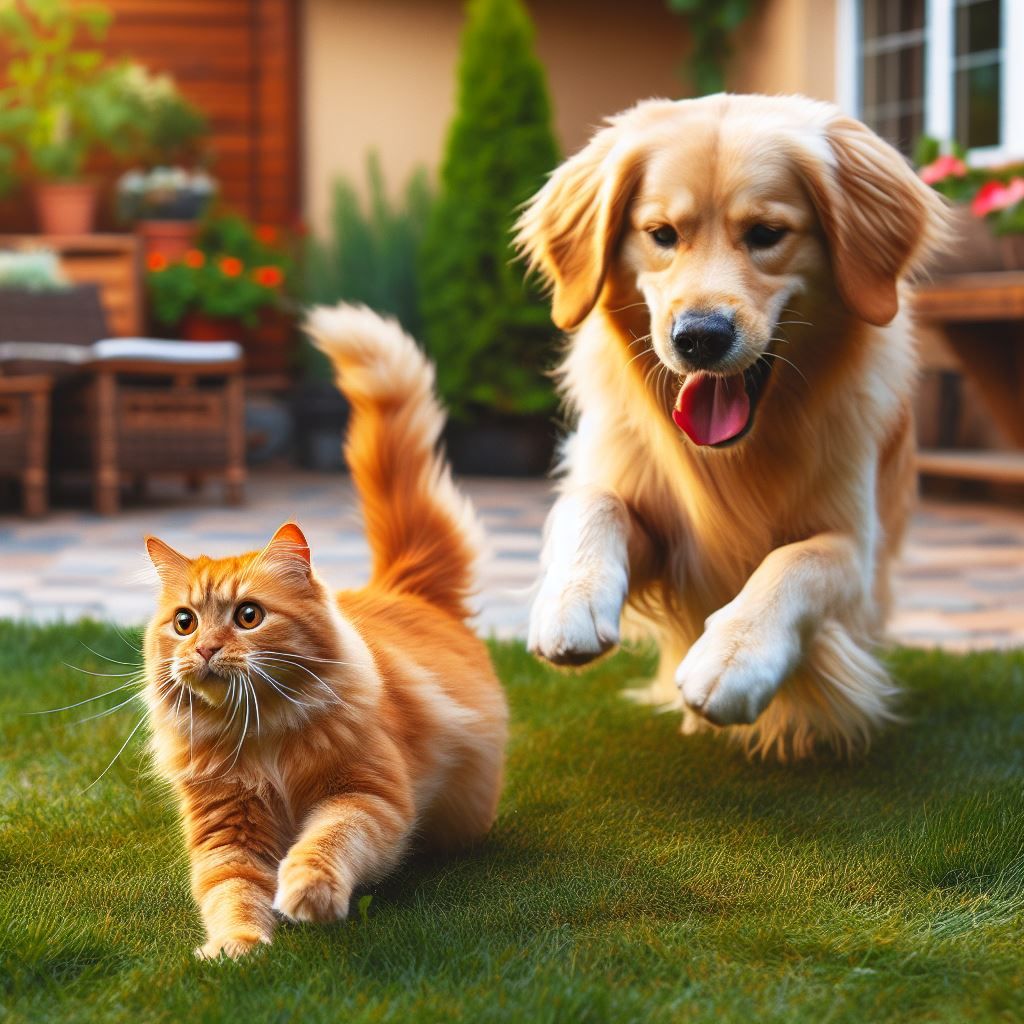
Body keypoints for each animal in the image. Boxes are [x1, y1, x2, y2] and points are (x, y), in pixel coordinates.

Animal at [142, 303, 509, 958]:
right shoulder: (225, 835)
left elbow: (325, 842)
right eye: (184, 623)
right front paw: (237, 948)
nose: (205, 649)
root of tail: (400, 587)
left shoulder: (368, 796)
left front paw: (306, 895)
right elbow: (231, 894)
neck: (258, 738)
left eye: (249, 616)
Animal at [516, 92, 946, 757]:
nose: (698, 337)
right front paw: (570, 601)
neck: (734, 454)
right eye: (662, 235)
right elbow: (590, 503)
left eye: (767, 234)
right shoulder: (662, 528)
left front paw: (733, 658)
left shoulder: (855, 550)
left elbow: (794, 562)